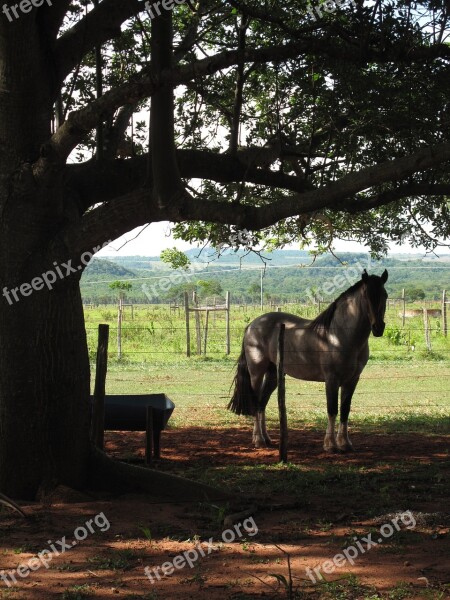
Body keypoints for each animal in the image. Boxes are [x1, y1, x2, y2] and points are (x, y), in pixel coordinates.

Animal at [229, 270, 386, 450]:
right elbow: (332, 409)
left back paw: (267, 439)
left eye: (385, 295)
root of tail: (252, 325)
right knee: (256, 403)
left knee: (262, 403)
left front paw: (345, 444)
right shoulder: (331, 380)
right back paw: (258, 440)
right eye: (367, 296)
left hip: (273, 374)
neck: (339, 335)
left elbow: (345, 410)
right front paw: (330, 445)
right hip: (256, 372)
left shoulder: (352, 380)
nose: (378, 328)